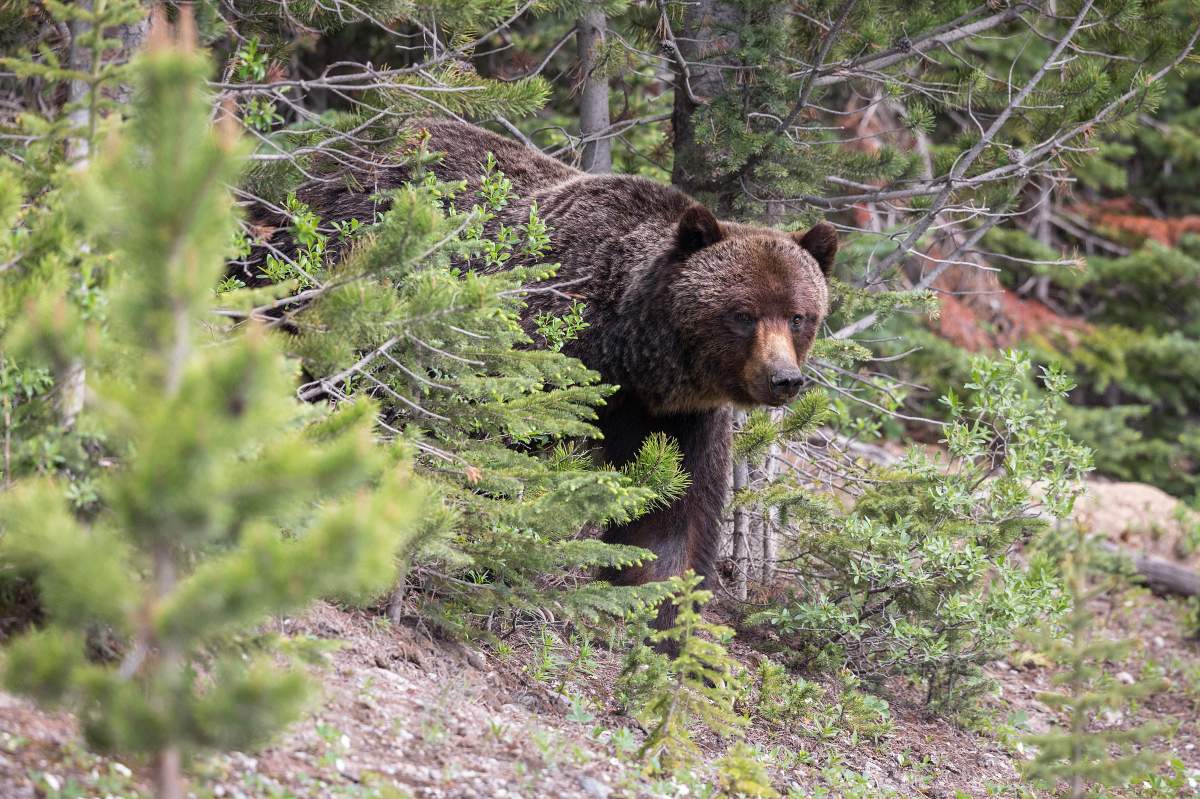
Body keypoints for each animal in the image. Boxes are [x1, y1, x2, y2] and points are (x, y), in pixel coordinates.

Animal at [248, 119, 836, 624]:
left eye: (799, 316)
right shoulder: (544, 354)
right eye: (742, 314)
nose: (784, 379)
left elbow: (676, 514)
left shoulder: (679, 416)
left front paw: (663, 610)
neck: (628, 350)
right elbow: (500, 452)